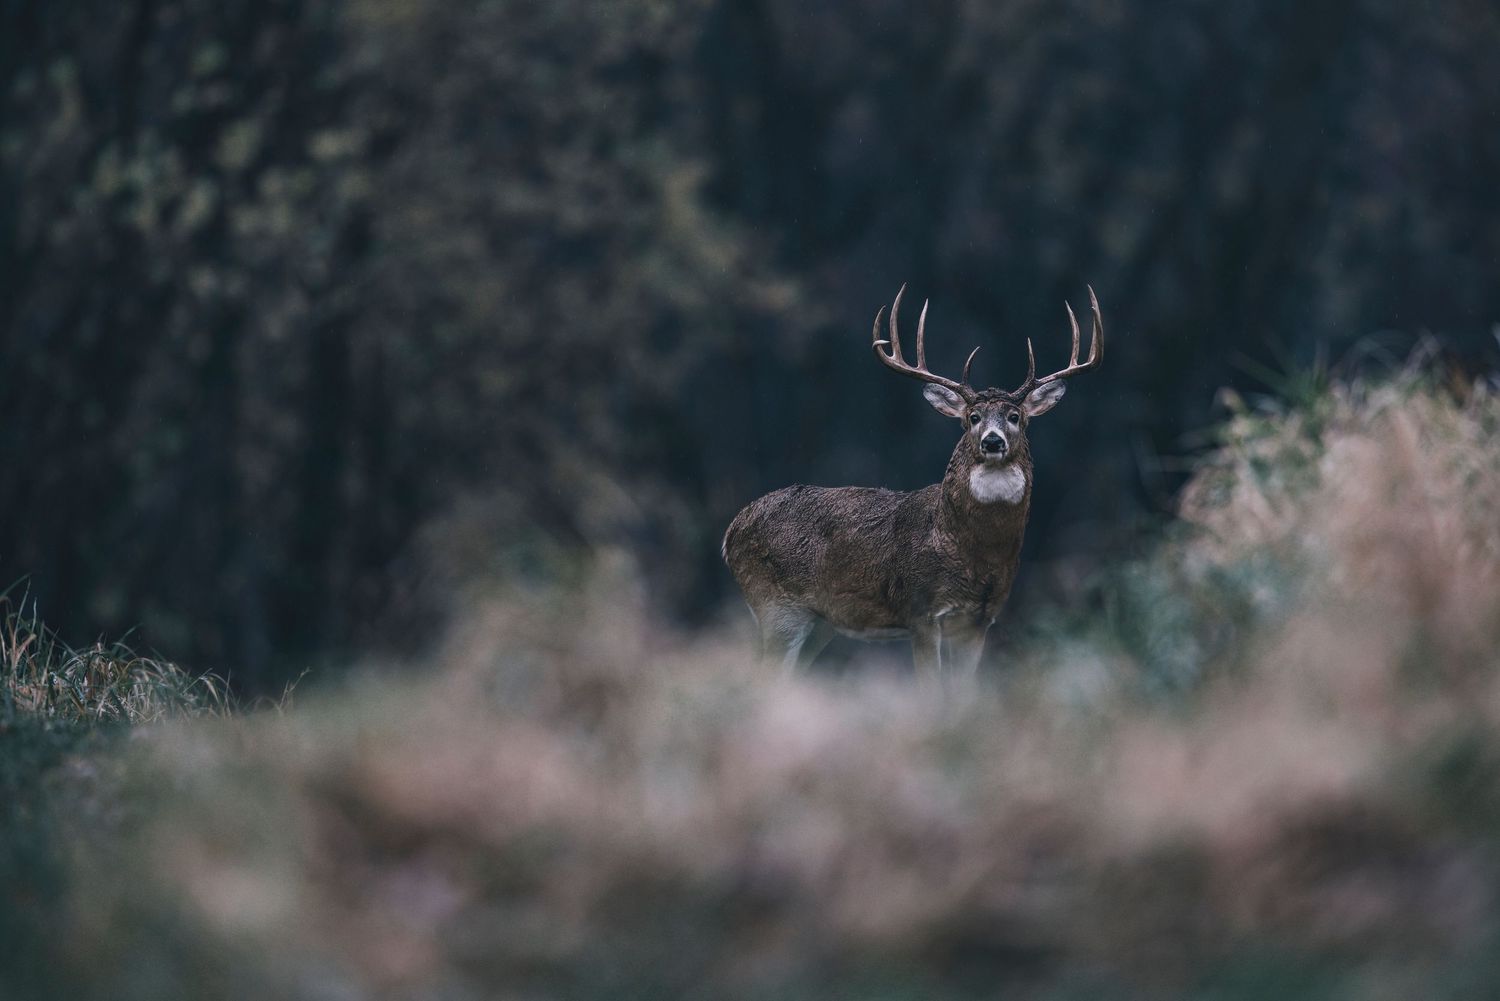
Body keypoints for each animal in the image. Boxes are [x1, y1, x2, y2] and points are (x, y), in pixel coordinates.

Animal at [722, 285, 1103, 677]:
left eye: (1015, 416)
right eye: (973, 417)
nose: (992, 441)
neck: (965, 548)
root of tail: (732, 530)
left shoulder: (979, 619)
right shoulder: (921, 610)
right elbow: (931, 685)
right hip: (775, 603)